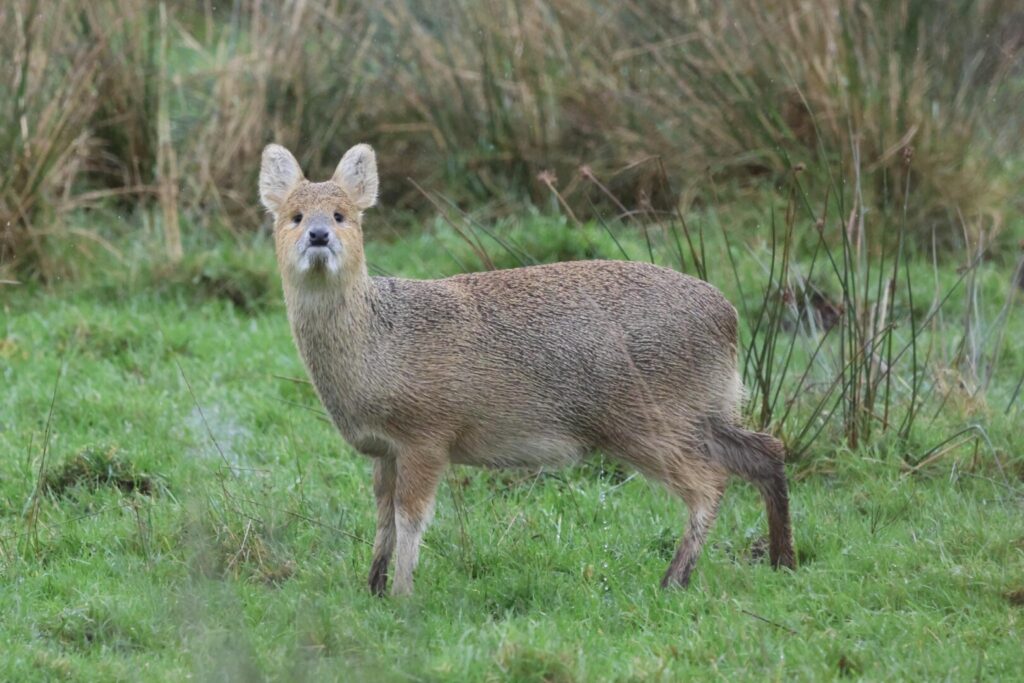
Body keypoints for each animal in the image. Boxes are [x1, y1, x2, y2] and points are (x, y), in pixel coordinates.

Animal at [260, 141, 794, 593]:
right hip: (702, 410)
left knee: (710, 484)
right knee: (767, 450)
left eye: (343, 215)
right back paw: (781, 558)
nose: (319, 234)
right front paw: (372, 587)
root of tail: (728, 318)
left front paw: (403, 595)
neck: (379, 341)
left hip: (647, 419)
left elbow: (412, 519)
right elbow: (383, 519)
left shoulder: (426, 436)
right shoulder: (383, 450)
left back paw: (674, 579)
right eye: (293, 215)